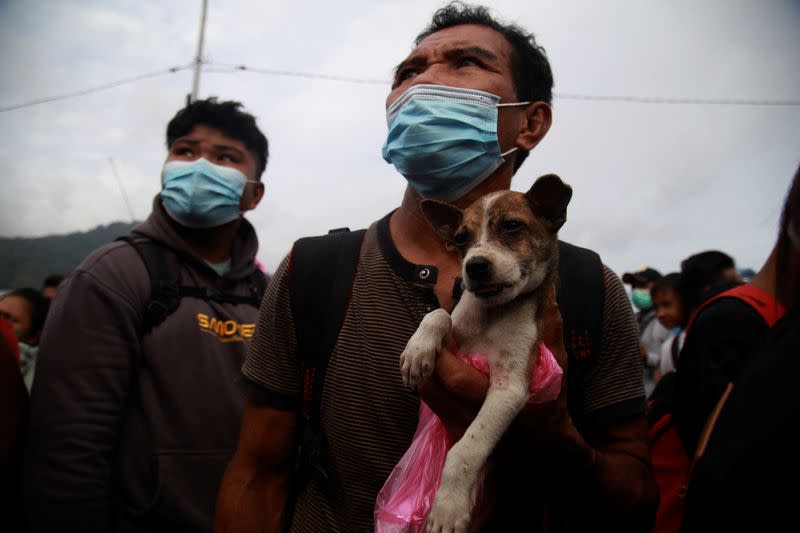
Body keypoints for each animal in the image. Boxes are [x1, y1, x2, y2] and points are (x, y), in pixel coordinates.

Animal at [398, 172, 572, 528]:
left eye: (512, 226)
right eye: (462, 238)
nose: (474, 266)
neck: (492, 314)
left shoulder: (511, 386)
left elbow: (467, 448)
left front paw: (448, 506)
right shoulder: (456, 341)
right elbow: (439, 314)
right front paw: (418, 349)